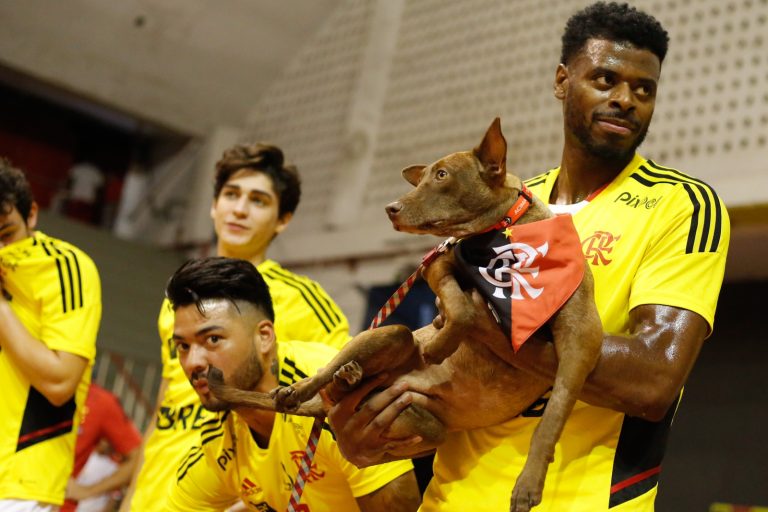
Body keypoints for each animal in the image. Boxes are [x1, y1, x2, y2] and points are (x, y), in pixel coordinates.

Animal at [210, 118, 603, 512]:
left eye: (442, 174)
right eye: (423, 177)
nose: (391, 208)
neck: (504, 233)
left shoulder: (581, 341)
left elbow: (552, 416)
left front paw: (529, 483)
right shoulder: (439, 264)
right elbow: (459, 306)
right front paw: (441, 345)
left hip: (425, 425)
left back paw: (352, 380)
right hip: (391, 333)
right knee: (325, 373)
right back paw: (309, 386)